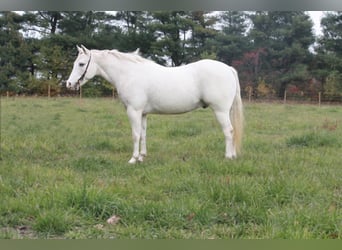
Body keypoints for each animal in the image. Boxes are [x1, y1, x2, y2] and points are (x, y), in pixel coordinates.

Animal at [67, 45, 243, 164]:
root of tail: (228, 68)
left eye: (81, 64)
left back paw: (228, 157)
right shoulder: (143, 113)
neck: (129, 74)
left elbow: (135, 134)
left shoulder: (133, 111)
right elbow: (143, 134)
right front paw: (142, 157)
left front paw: (133, 159)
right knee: (233, 131)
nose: (69, 84)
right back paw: (234, 155)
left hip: (220, 111)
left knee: (229, 131)